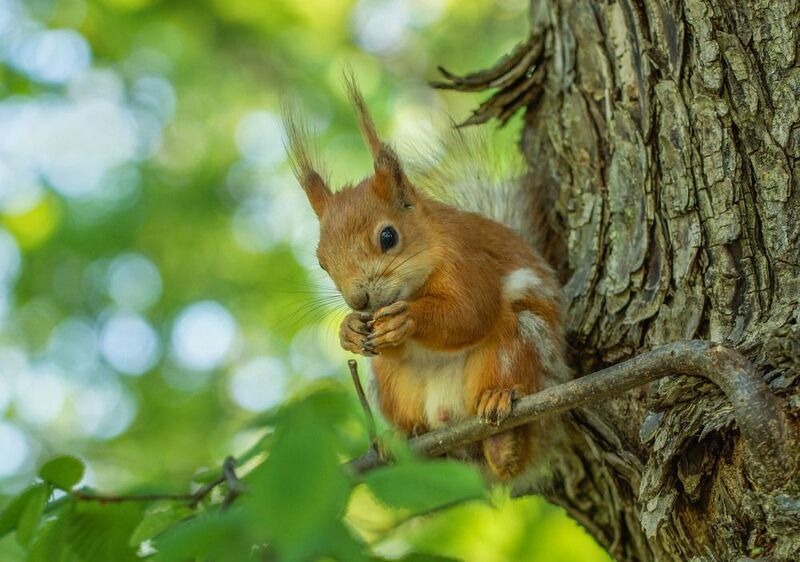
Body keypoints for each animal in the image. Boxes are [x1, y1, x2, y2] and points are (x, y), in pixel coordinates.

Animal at [285, 78, 568, 481]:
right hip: (391, 383)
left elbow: (471, 313)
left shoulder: (468, 261)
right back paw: (400, 436)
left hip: (521, 343)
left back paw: (501, 418)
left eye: (388, 237)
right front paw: (349, 330)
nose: (359, 301)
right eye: (322, 262)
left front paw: (409, 318)